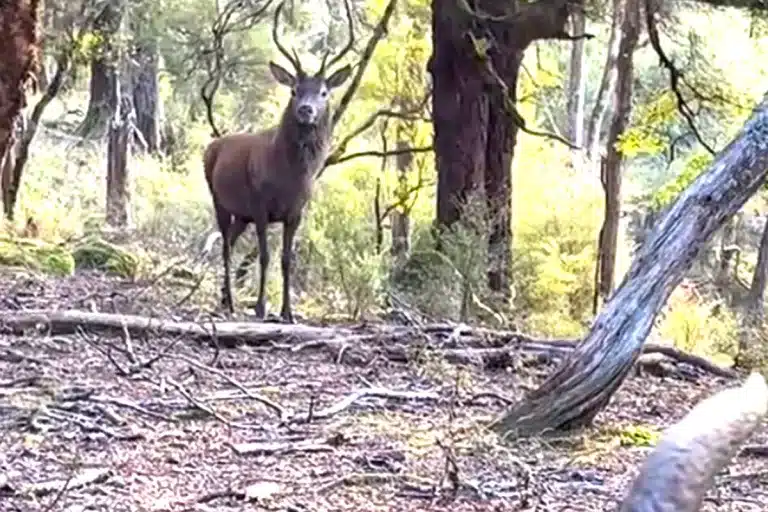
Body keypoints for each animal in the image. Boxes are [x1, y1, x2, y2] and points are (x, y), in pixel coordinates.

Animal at [203, 0, 353, 323]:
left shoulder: (296, 212)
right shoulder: (260, 205)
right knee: (224, 246)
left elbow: (286, 260)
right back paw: (230, 302)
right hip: (220, 199)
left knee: (230, 241)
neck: (290, 177)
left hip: (241, 214)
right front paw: (260, 307)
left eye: (324, 92)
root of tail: (212, 145)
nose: (306, 110)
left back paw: (225, 298)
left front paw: (288, 312)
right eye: (294, 90)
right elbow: (265, 256)